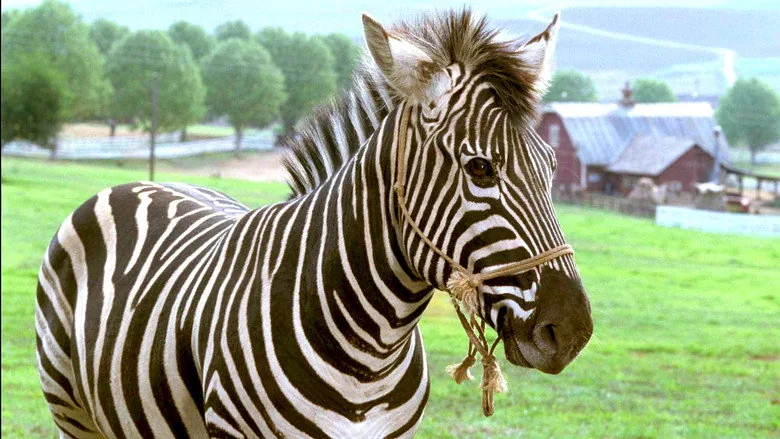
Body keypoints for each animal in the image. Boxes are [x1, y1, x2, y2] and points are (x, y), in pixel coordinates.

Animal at [36, 9, 592, 438]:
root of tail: (134, 183)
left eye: (550, 167)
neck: (369, 359)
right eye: (480, 168)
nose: (572, 331)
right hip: (71, 409)